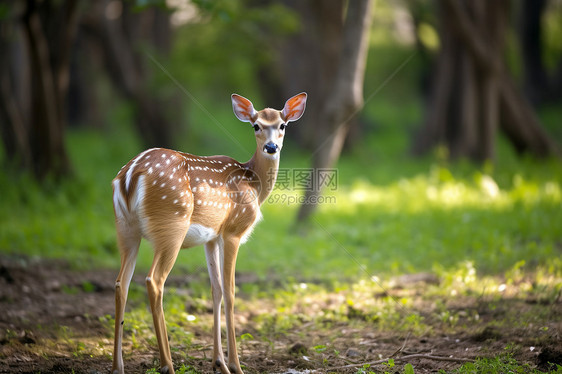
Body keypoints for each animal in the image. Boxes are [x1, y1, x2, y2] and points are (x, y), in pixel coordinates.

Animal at [110, 93, 306, 374]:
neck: (254, 183)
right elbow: (231, 290)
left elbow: (216, 289)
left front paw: (218, 363)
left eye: (282, 125)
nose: (271, 147)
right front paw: (235, 365)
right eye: (256, 125)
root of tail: (129, 176)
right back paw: (167, 364)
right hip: (172, 225)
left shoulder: (212, 238)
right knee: (154, 281)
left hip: (125, 228)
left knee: (121, 283)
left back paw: (118, 366)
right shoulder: (233, 231)